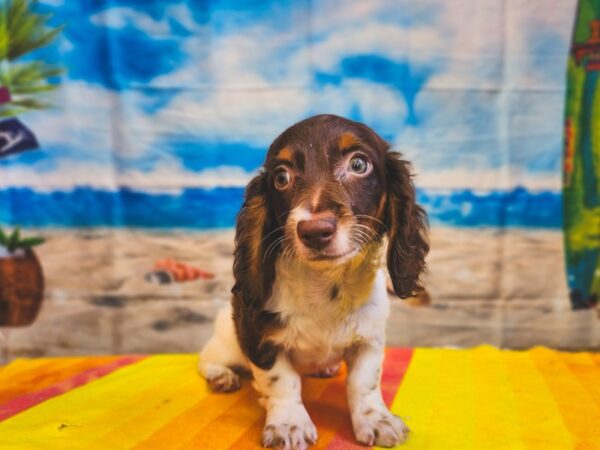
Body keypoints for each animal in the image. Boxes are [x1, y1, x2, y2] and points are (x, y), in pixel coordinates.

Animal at [199, 114, 428, 448]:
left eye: (359, 164)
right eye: (281, 177)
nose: (315, 231)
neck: (325, 285)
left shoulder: (370, 338)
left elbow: (364, 383)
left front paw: (377, 420)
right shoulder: (258, 336)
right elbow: (282, 381)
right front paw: (289, 424)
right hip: (227, 340)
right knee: (206, 358)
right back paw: (221, 376)